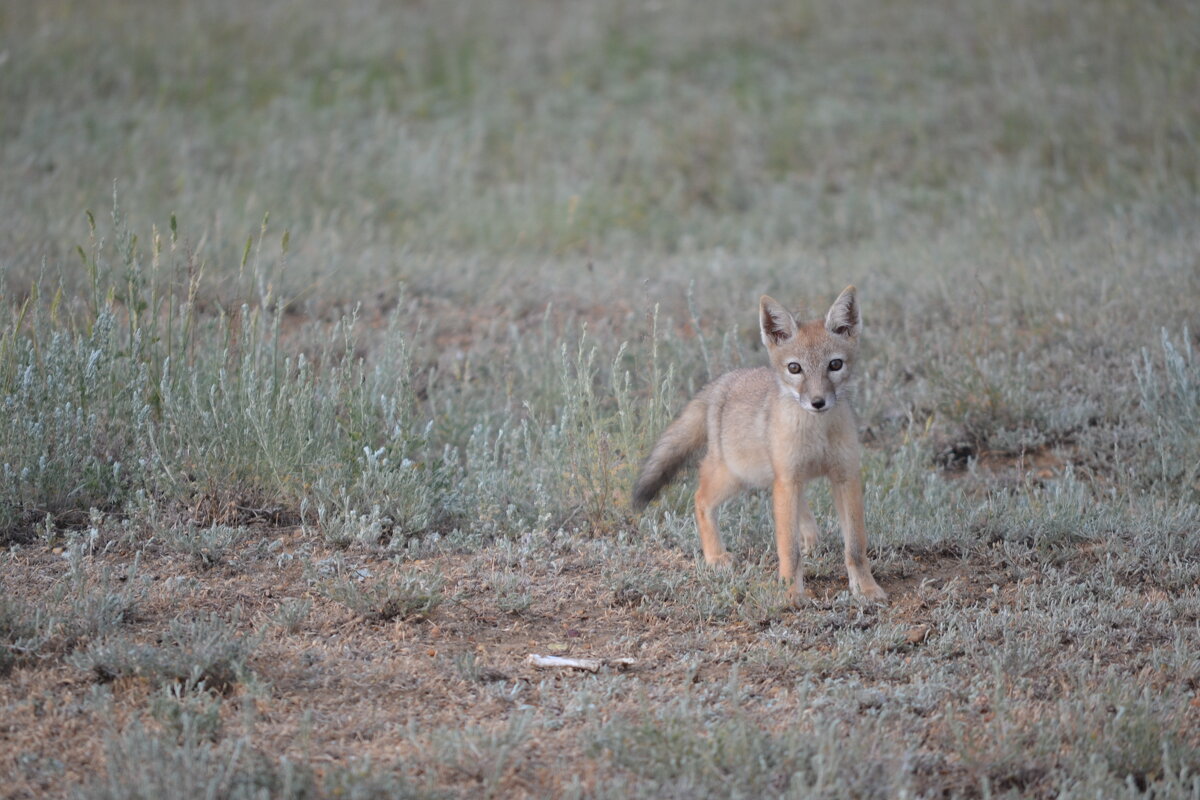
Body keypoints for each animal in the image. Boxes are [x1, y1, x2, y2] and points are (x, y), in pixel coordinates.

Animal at [633, 284, 888, 604]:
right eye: (795, 368)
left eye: (835, 364)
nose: (817, 402)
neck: (817, 432)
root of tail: (725, 380)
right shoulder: (788, 479)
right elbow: (788, 548)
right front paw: (791, 592)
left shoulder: (845, 477)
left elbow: (855, 546)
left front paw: (865, 588)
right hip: (737, 476)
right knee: (700, 499)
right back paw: (715, 556)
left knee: (797, 508)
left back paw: (811, 539)